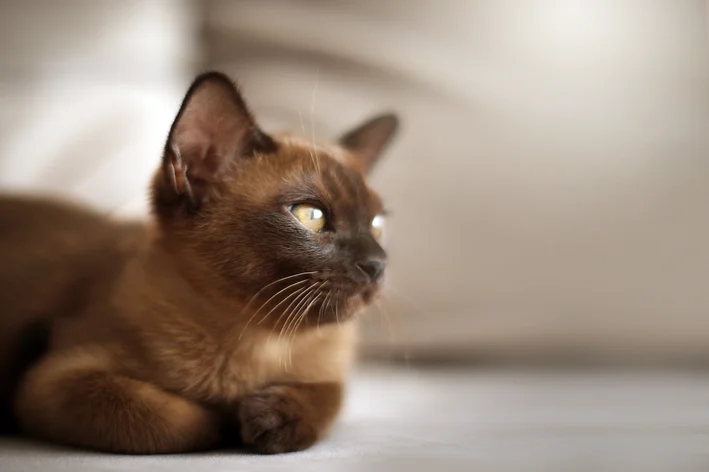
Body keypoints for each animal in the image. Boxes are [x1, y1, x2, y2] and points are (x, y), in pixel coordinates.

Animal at [0, 73, 398, 454]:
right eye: (311, 216)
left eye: (377, 223)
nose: (377, 265)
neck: (262, 342)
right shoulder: (53, 380)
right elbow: (172, 421)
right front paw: (227, 421)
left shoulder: (329, 375)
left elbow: (328, 398)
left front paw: (271, 419)